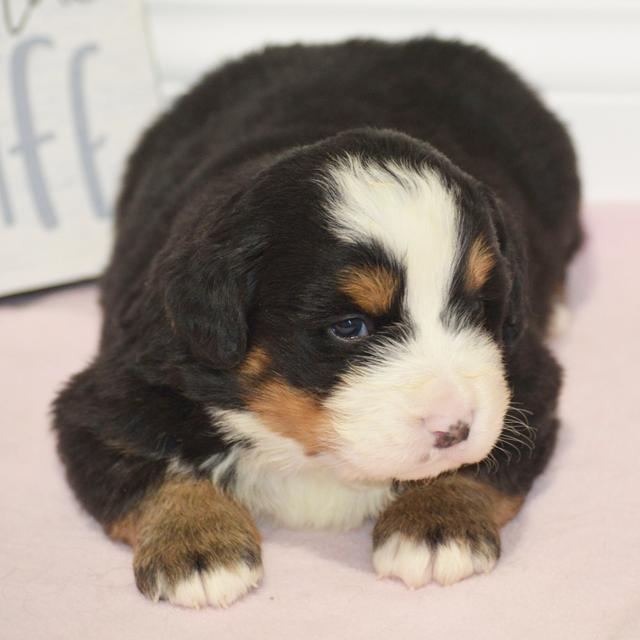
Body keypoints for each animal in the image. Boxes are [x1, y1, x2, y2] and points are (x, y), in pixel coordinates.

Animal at [52, 37, 584, 608]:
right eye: (350, 327)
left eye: (481, 306)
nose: (455, 428)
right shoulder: (110, 393)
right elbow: (149, 466)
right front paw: (197, 547)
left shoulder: (526, 381)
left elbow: (486, 462)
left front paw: (436, 524)